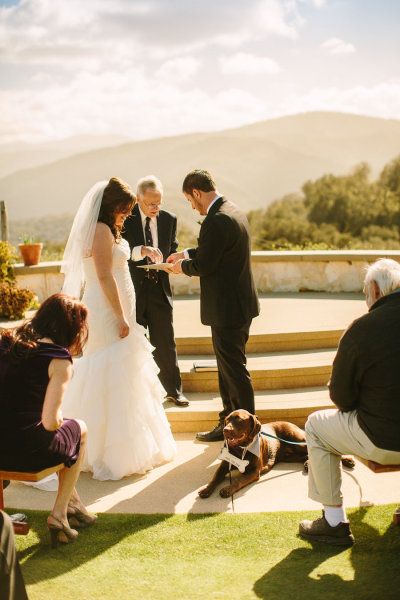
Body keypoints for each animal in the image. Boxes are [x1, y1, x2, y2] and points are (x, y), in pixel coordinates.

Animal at [198, 410, 354, 500]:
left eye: (239, 420)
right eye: (227, 420)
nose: (225, 430)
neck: (240, 449)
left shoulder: (254, 471)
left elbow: (238, 480)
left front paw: (227, 489)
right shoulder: (224, 466)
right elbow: (214, 478)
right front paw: (206, 489)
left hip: (297, 440)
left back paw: (348, 460)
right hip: (291, 455)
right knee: (307, 455)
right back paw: (307, 464)